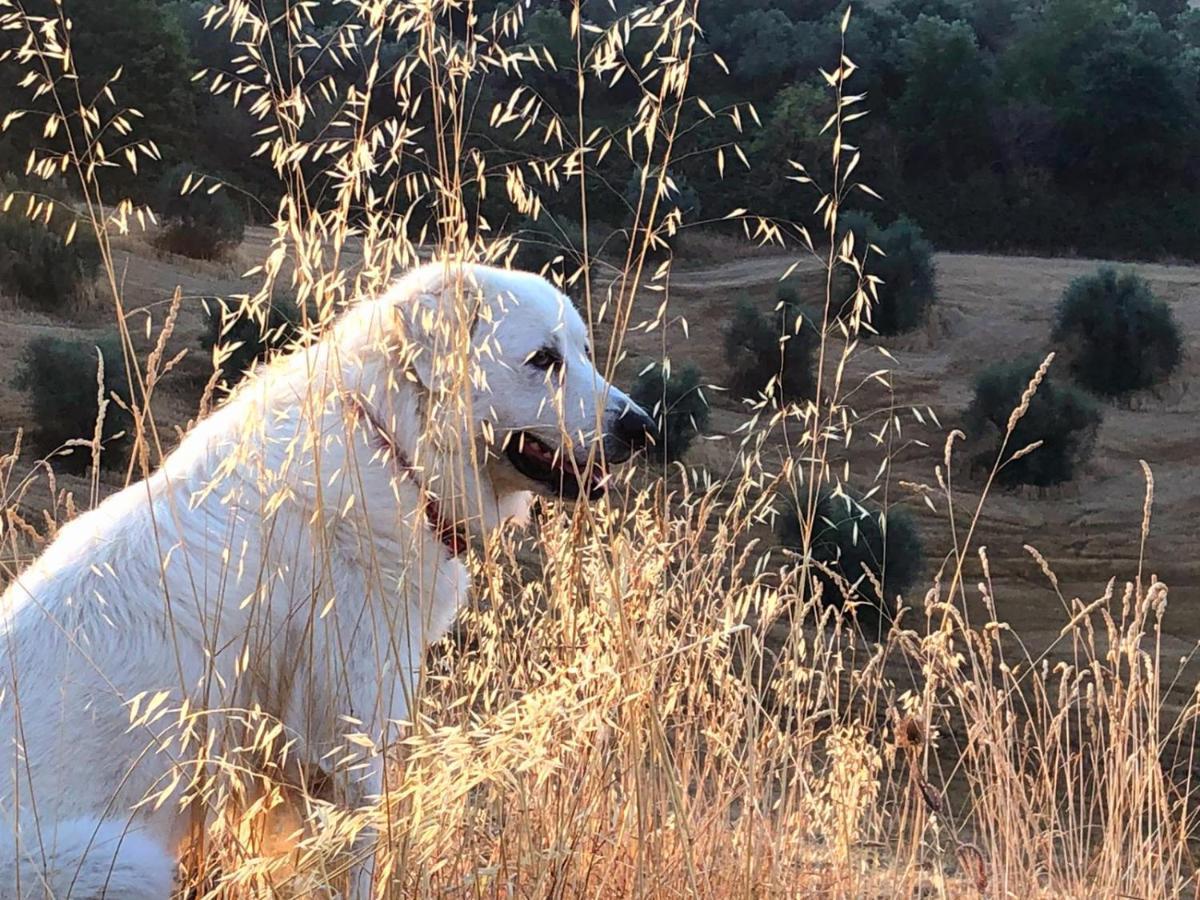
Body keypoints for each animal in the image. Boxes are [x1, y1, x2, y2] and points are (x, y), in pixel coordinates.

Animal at [0, 264, 657, 897]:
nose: (641, 426)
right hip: (121, 862)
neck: (393, 447)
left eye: (584, 351)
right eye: (544, 359)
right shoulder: (348, 747)